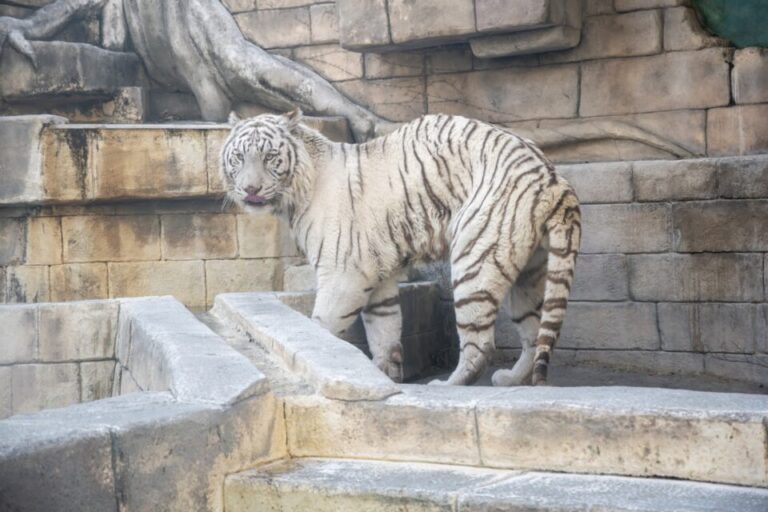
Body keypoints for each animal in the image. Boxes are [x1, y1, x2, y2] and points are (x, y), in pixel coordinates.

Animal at [219, 110, 580, 386]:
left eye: (269, 156)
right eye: (239, 157)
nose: (250, 189)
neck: (299, 190)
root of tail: (552, 178)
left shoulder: (342, 273)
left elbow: (322, 324)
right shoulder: (374, 274)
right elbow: (385, 328)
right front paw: (385, 372)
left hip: (475, 257)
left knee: (480, 343)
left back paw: (448, 384)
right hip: (531, 270)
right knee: (533, 332)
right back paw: (511, 379)